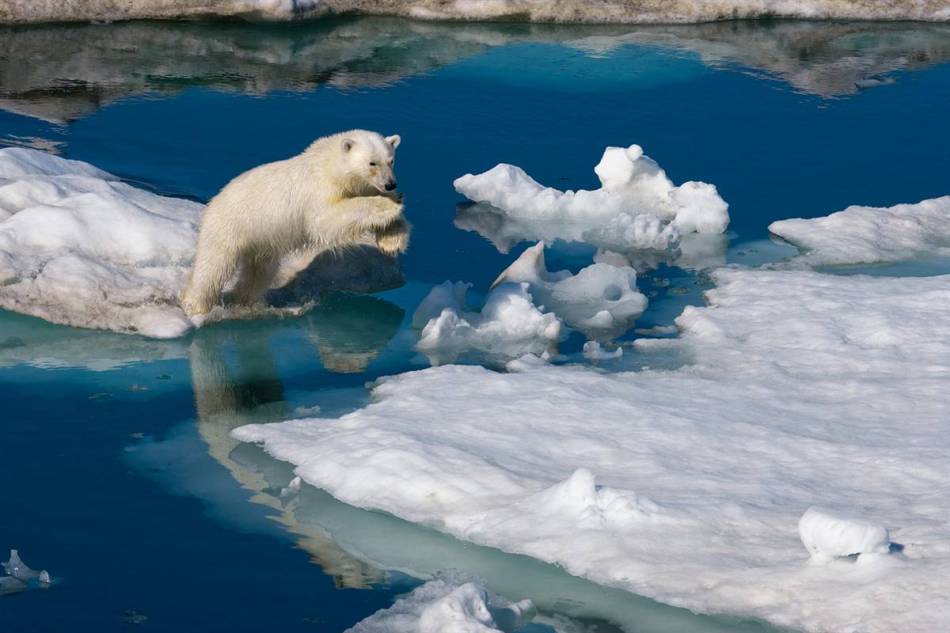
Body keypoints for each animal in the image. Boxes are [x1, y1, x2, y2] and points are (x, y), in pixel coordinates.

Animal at [180, 130, 410, 316]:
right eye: (372, 163)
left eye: (391, 160)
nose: (391, 184)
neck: (329, 164)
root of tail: (213, 202)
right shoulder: (318, 189)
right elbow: (328, 219)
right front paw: (390, 204)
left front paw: (392, 240)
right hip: (228, 226)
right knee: (213, 267)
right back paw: (196, 306)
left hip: (261, 241)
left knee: (259, 272)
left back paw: (244, 301)